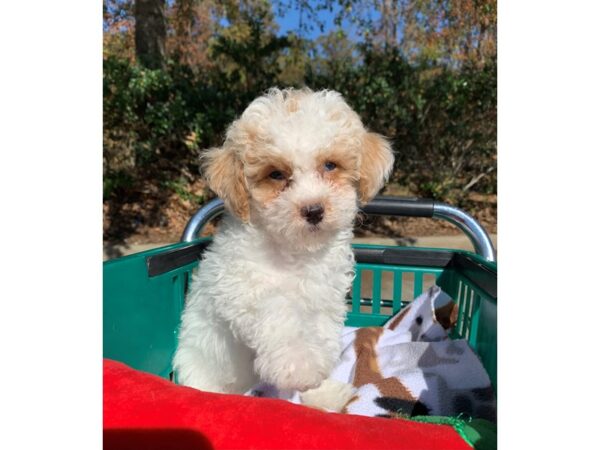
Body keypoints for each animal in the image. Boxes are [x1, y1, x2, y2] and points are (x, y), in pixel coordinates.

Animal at [172, 88, 394, 408]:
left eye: (330, 165)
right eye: (276, 174)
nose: (313, 210)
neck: (294, 249)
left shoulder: (324, 296)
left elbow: (320, 333)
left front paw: (318, 383)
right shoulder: (243, 287)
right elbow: (280, 316)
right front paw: (300, 367)